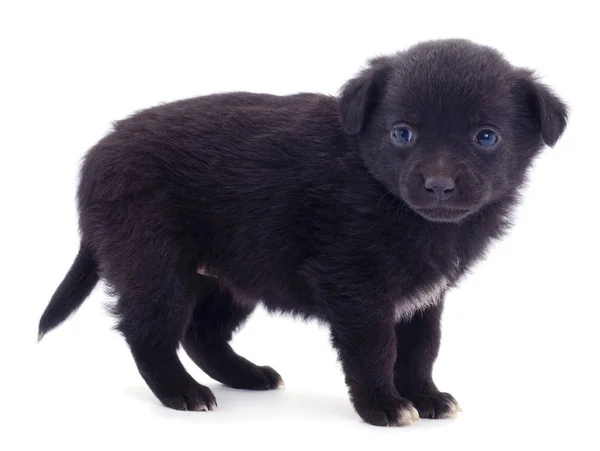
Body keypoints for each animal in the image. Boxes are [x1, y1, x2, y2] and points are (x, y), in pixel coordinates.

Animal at [38, 38, 568, 428]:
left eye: (486, 137)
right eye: (402, 134)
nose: (439, 185)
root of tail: (95, 160)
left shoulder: (424, 296)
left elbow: (421, 350)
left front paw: (425, 396)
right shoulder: (355, 286)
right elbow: (376, 348)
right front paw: (383, 405)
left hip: (232, 274)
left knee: (201, 334)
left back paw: (246, 376)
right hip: (154, 264)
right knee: (148, 333)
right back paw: (182, 393)